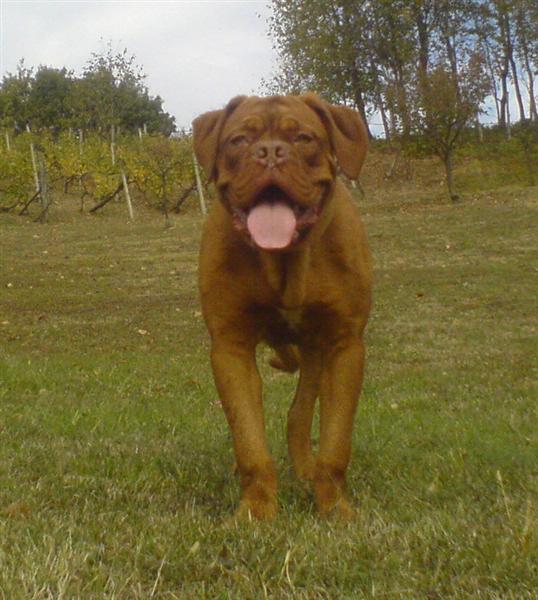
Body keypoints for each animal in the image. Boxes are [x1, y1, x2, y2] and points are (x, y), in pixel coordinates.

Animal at [192, 93, 371, 520]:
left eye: (303, 138)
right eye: (239, 140)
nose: (271, 152)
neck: (284, 261)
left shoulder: (344, 345)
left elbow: (336, 441)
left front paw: (335, 508)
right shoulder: (231, 347)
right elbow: (249, 442)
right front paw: (256, 511)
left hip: (316, 353)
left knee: (299, 414)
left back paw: (307, 469)